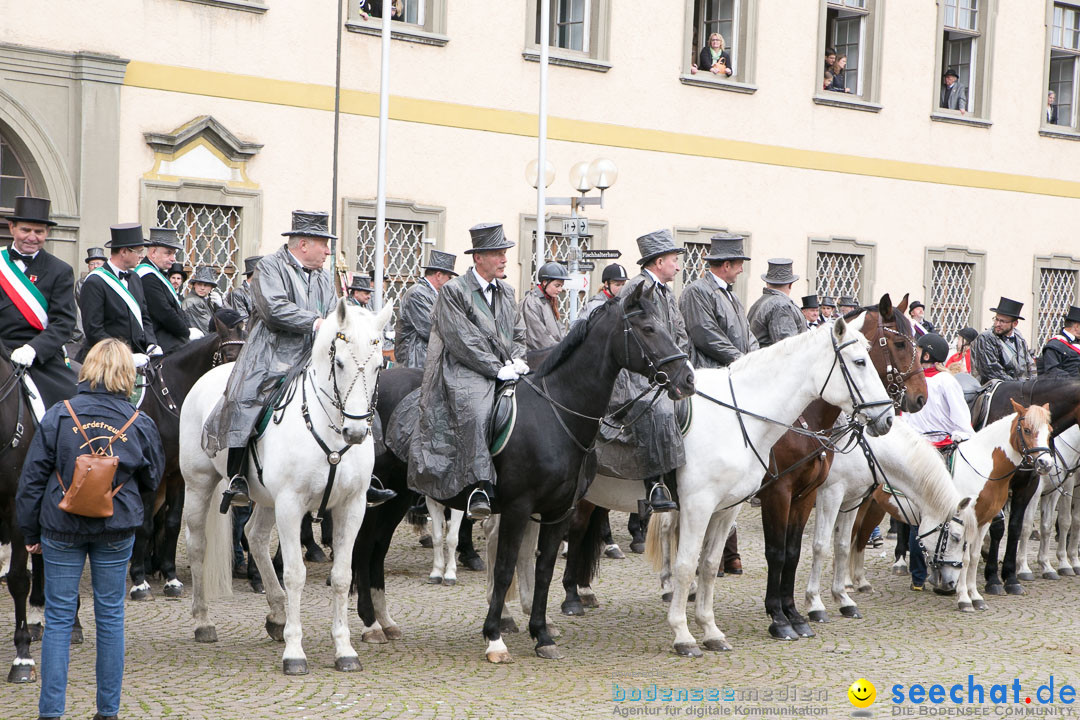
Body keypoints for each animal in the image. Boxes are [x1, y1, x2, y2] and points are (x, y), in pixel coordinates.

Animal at [126, 313, 245, 600]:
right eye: (228, 356)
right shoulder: (153, 474)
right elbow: (144, 524)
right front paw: (139, 582)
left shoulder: (177, 475)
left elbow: (171, 522)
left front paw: (170, 577)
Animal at [181, 302, 393, 673]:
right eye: (339, 363)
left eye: (379, 365)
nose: (355, 432)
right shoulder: (292, 505)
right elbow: (295, 573)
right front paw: (295, 653)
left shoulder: (350, 507)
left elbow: (342, 576)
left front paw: (344, 649)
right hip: (199, 484)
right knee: (198, 545)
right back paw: (204, 621)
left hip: (266, 499)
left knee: (254, 536)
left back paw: (277, 616)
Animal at [807, 418, 984, 621]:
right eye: (955, 537)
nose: (951, 583)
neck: (870, 449)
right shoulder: (830, 494)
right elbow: (820, 547)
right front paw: (815, 603)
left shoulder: (852, 499)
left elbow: (842, 545)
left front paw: (843, 599)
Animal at [976, 379, 1080, 595]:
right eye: (1027, 430)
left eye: (1049, 430)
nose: (1045, 464)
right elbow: (1001, 527)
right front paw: (995, 578)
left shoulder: (1030, 487)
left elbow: (1018, 526)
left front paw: (1011, 577)